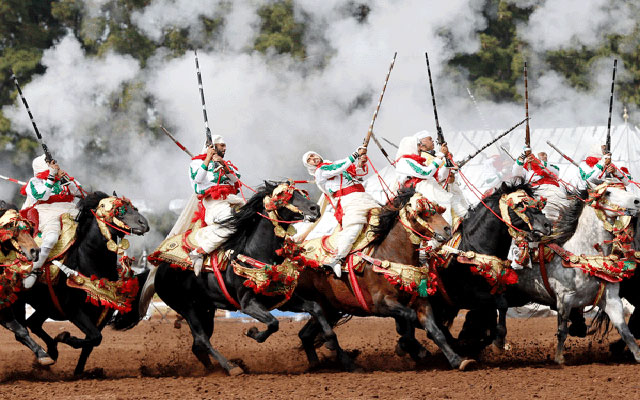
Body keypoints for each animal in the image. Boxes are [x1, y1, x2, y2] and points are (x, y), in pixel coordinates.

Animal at [15, 192, 151, 376]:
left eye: (134, 207)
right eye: (119, 210)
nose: (144, 224)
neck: (89, 262)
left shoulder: (102, 313)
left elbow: (93, 342)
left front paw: (78, 371)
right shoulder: (73, 311)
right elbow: (94, 337)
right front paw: (66, 337)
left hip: (45, 307)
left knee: (33, 323)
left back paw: (52, 352)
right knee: (23, 329)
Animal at [117, 181, 322, 376]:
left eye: (302, 193)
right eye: (283, 195)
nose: (315, 208)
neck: (254, 252)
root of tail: (157, 271)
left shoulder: (279, 298)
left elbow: (314, 307)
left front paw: (324, 345)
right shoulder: (248, 304)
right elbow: (273, 323)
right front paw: (253, 332)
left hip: (205, 310)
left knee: (198, 345)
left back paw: (212, 369)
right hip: (188, 309)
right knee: (201, 339)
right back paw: (231, 367)